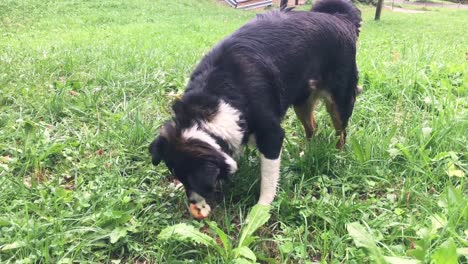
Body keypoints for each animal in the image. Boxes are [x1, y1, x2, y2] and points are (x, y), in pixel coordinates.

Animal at [150, 0, 362, 219]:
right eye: (181, 178)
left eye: (195, 184)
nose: (192, 202)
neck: (214, 100)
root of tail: (341, 18)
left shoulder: (272, 135)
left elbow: (268, 177)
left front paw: (261, 208)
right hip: (301, 100)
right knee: (313, 126)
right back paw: (308, 153)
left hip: (340, 99)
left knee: (341, 132)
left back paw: (337, 156)